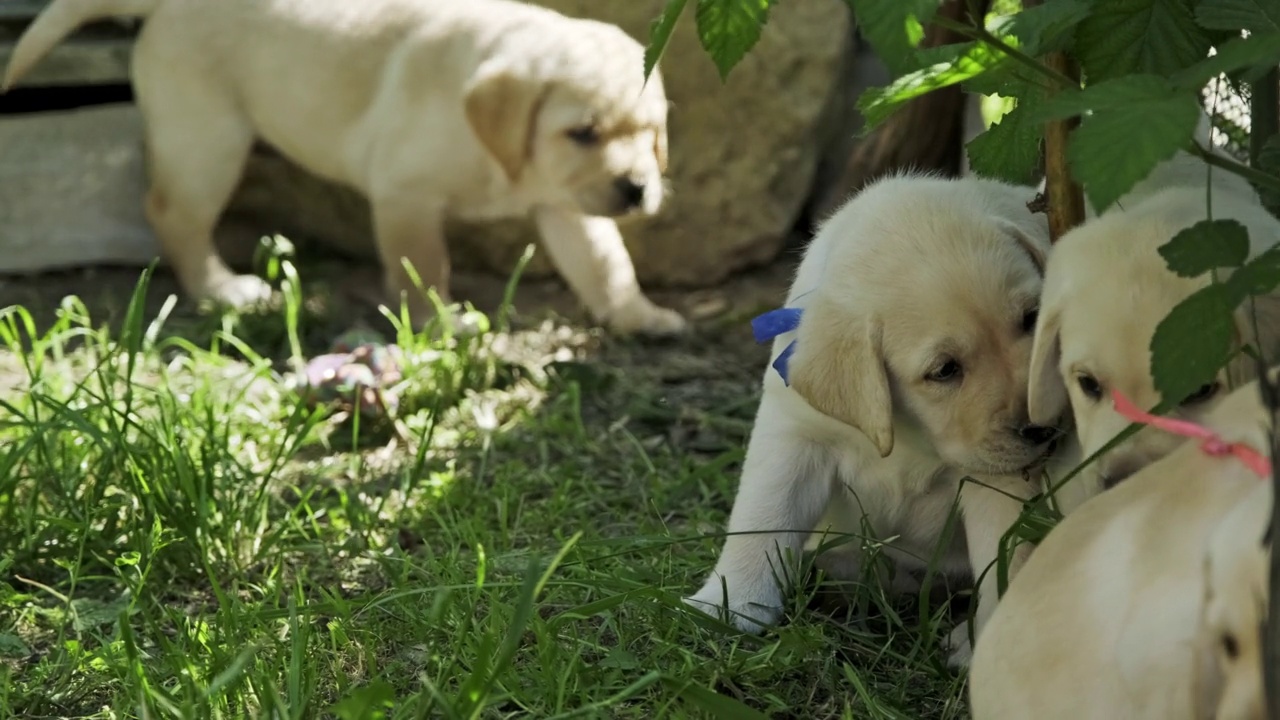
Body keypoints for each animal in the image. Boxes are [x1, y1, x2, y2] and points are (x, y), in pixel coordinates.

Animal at [5, 0, 686, 333]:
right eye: (583, 133)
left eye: (652, 132)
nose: (636, 189)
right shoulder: (405, 194)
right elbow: (423, 266)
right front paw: (441, 322)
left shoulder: (569, 204)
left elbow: (604, 262)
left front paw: (636, 314)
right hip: (206, 140)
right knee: (174, 214)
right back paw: (219, 289)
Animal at [686, 172, 1054, 661]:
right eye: (945, 370)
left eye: (1032, 318)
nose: (1043, 425)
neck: (910, 431)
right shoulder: (794, 438)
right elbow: (762, 517)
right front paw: (730, 603)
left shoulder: (1001, 479)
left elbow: (1008, 555)